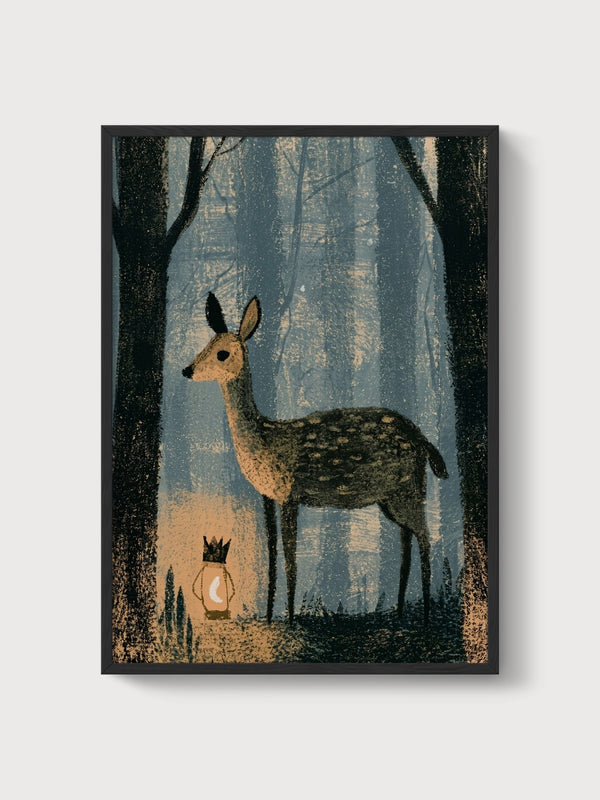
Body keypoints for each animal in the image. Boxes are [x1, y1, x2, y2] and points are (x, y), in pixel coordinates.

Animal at [182, 293, 448, 626]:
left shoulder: (289, 493)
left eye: (222, 353)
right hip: (392, 496)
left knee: (425, 537)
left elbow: (290, 561)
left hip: (408, 488)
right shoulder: (267, 496)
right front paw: (269, 616)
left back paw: (424, 616)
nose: (187, 370)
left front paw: (290, 618)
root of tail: (423, 440)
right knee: (407, 539)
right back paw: (400, 611)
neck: (265, 441)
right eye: (206, 344)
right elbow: (271, 557)